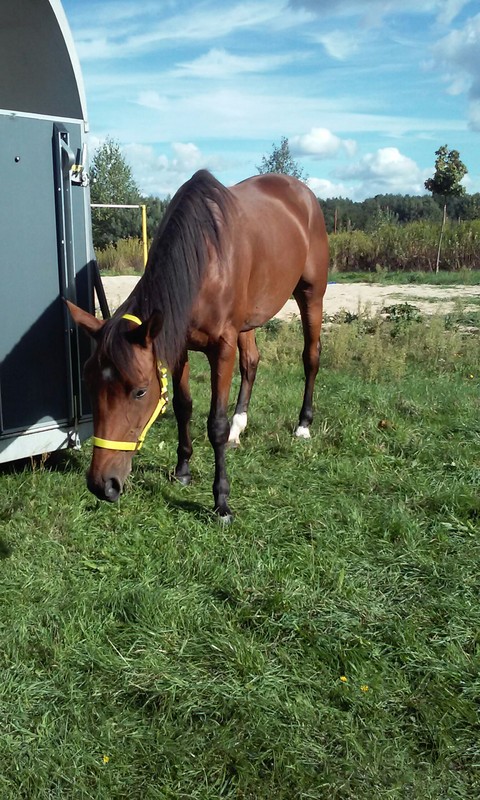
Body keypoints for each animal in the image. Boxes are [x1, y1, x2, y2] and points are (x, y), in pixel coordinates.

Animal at [67, 169, 329, 520]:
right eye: (90, 385)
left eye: (140, 391)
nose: (102, 484)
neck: (204, 260)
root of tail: (303, 194)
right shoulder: (177, 345)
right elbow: (183, 407)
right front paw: (183, 470)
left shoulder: (222, 347)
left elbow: (215, 422)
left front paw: (221, 501)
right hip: (248, 319)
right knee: (251, 361)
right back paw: (238, 428)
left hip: (311, 295)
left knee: (310, 357)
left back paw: (303, 425)